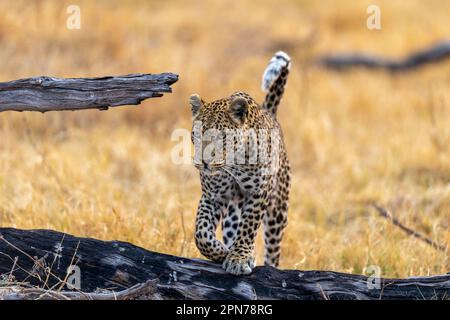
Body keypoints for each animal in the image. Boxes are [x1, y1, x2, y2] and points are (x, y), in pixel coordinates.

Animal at [187, 50, 290, 276]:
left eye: (222, 137)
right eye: (196, 134)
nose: (203, 162)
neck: (233, 165)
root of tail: (270, 112)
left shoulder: (259, 193)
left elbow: (249, 227)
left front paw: (239, 258)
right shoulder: (213, 195)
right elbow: (201, 232)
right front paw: (222, 252)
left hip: (278, 210)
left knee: (273, 249)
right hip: (233, 211)